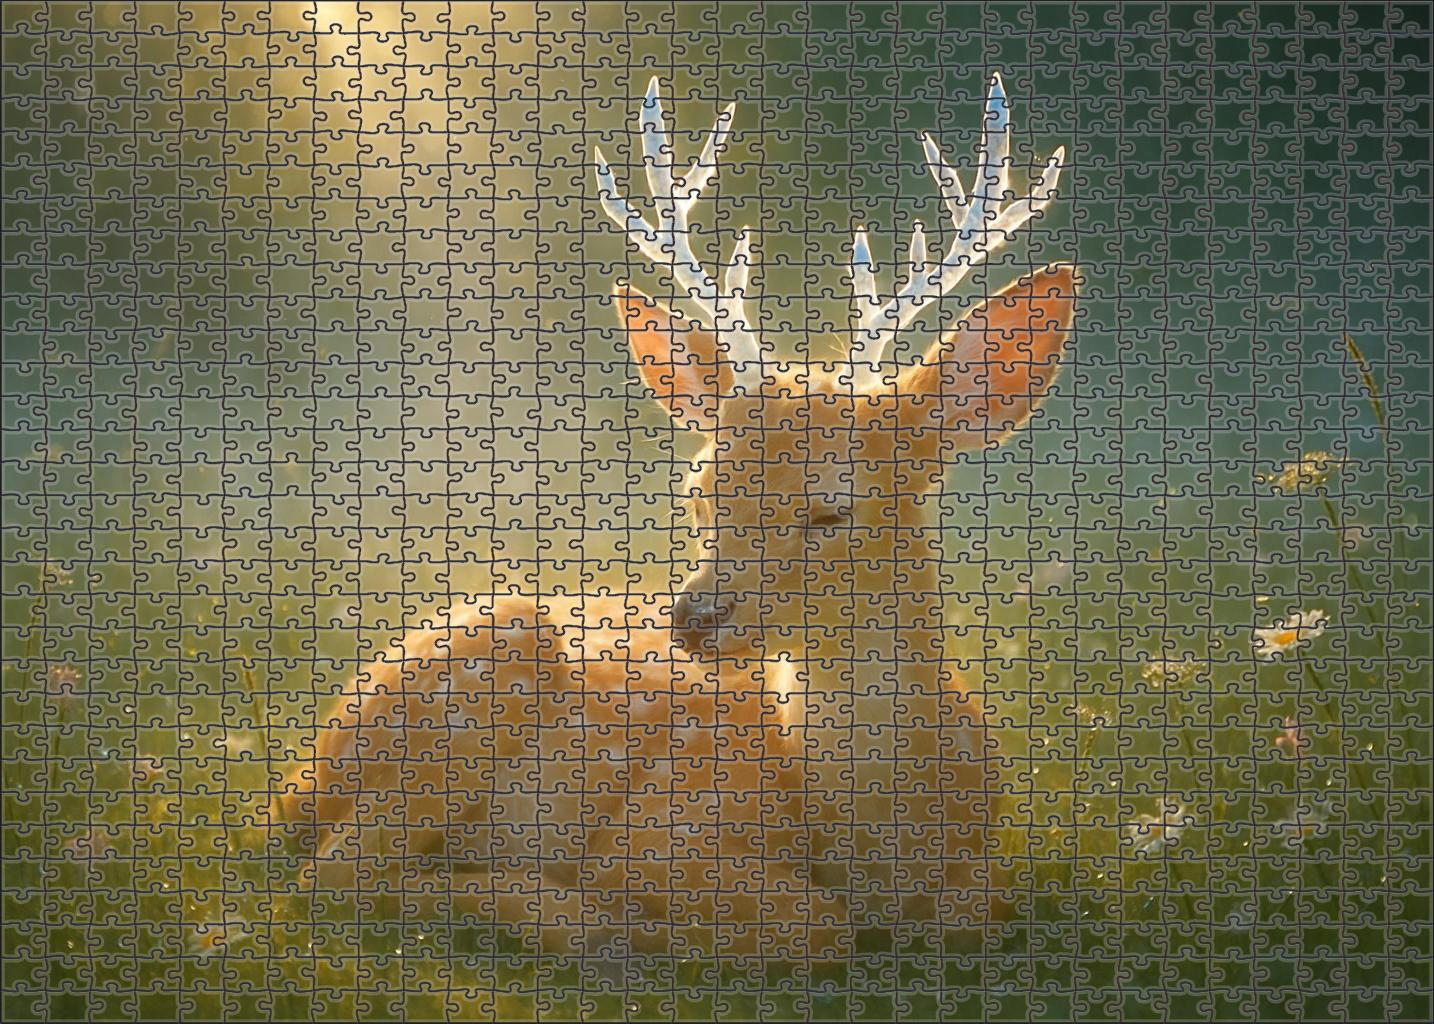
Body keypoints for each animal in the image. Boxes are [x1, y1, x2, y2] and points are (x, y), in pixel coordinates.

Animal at [280, 73, 1074, 957]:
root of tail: (304, 767)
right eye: (701, 490)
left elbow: (973, 911)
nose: (691, 619)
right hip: (479, 677)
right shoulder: (665, 827)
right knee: (329, 878)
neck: (883, 835)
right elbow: (813, 927)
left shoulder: (988, 881)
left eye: (834, 509)